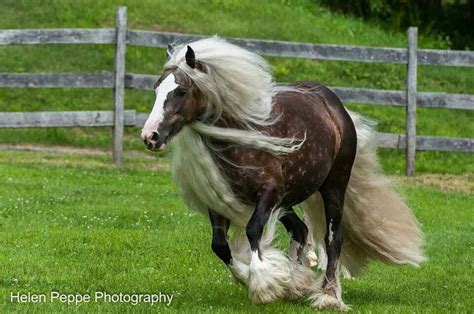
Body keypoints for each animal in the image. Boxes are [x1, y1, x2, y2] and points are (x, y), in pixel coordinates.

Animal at [141, 36, 426, 310]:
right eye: (156, 88)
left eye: (181, 91)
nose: (150, 136)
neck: (242, 136)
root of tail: (335, 106)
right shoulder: (221, 199)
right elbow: (220, 245)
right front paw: (265, 278)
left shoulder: (269, 193)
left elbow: (253, 230)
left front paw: (263, 284)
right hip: (289, 200)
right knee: (301, 230)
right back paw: (296, 283)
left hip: (334, 185)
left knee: (333, 237)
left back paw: (328, 296)